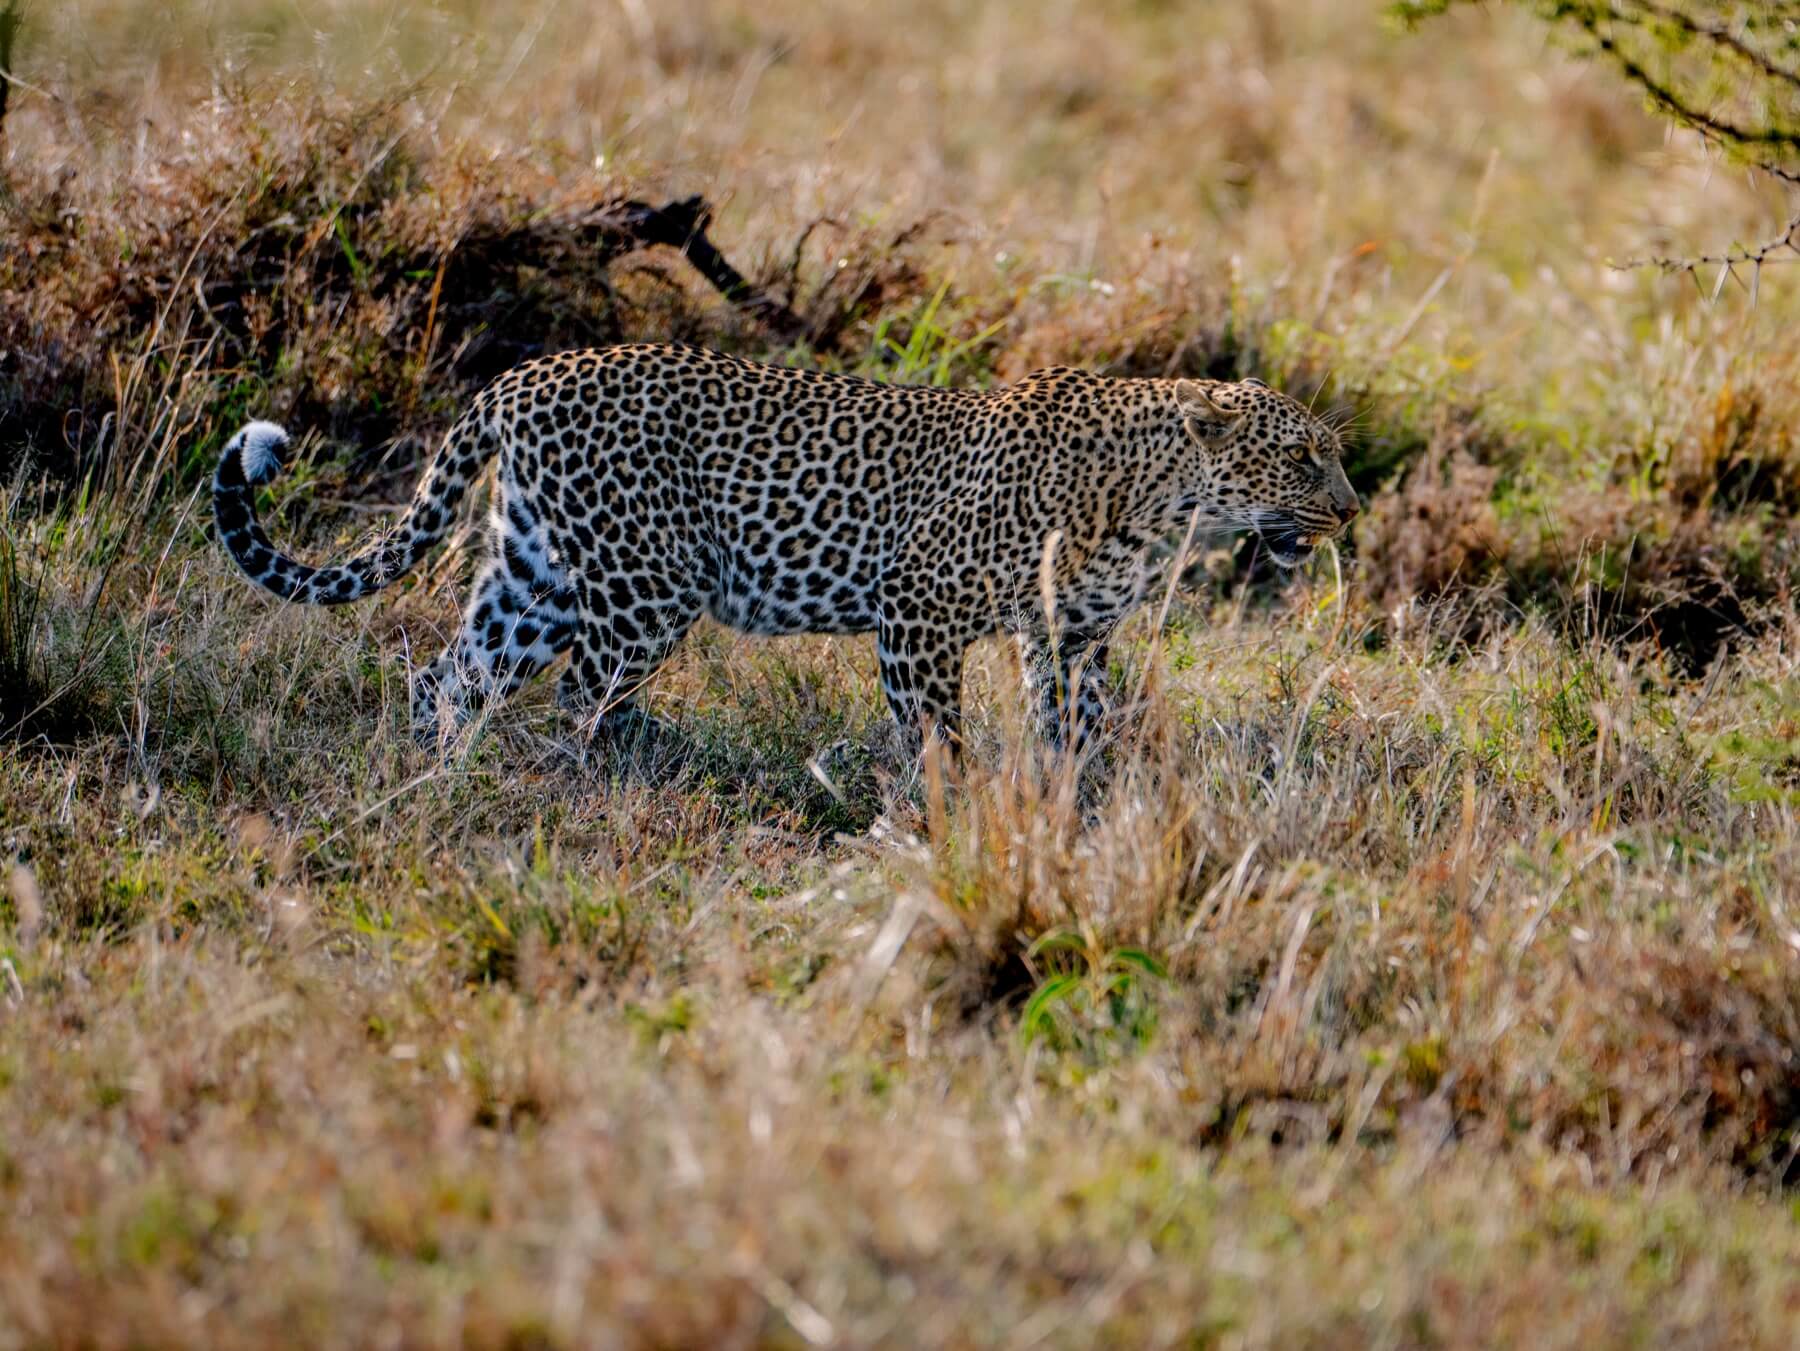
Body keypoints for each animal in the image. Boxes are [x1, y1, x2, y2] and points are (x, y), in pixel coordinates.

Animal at [213, 342, 1359, 754]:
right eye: (1303, 458)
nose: (1350, 510)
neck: (1155, 502)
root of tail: (525, 373)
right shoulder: (919, 610)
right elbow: (935, 738)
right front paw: (944, 826)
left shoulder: (1069, 639)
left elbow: (1077, 730)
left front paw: (1080, 810)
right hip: (646, 588)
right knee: (581, 695)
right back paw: (603, 783)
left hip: (534, 579)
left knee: (449, 677)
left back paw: (444, 775)